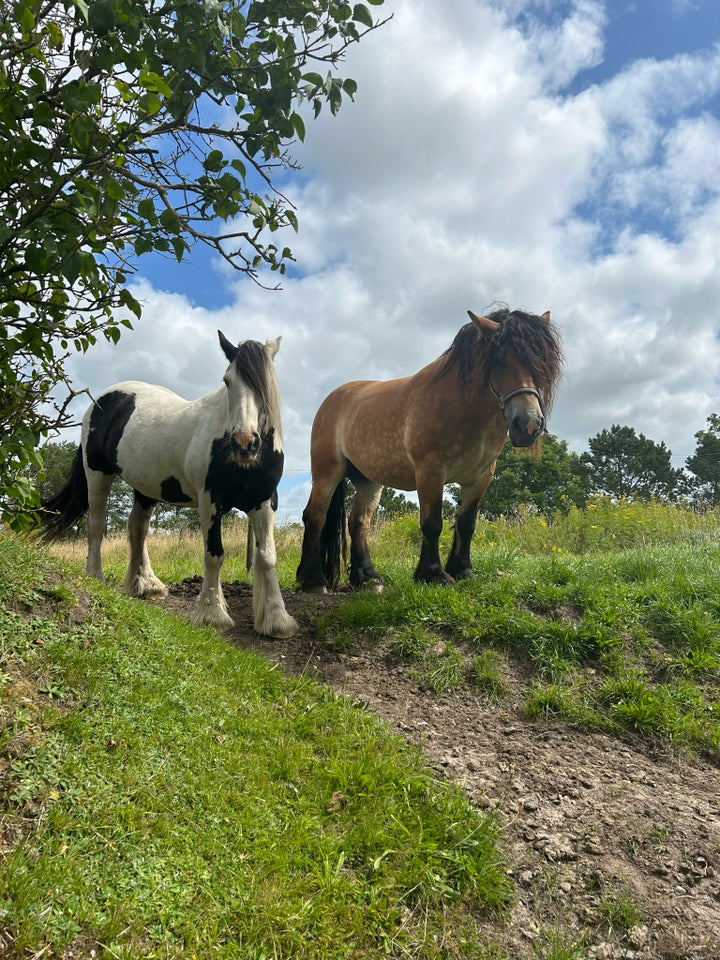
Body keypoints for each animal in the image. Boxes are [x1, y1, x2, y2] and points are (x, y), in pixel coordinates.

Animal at [40, 330, 298, 636]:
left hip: (145, 487)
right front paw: (212, 615)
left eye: (266, 383)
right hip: (97, 473)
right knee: (96, 525)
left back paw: (145, 585)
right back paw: (95, 577)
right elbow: (214, 555)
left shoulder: (265, 501)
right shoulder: (210, 502)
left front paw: (277, 619)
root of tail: (103, 398)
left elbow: (267, 557)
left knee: (137, 529)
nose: (244, 442)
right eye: (227, 381)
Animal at [296, 308, 564, 592]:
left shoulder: (480, 478)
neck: (463, 409)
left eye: (541, 363)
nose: (529, 424)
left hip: (369, 482)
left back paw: (368, 577)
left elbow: (466, 523)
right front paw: (433, 574)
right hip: (327, 473)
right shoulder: (430, 471)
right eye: (498, 358)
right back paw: (314, 580)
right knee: (315, 517)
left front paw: (462, 570)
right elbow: (432, 523)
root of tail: (333, 399)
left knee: (358, 523)